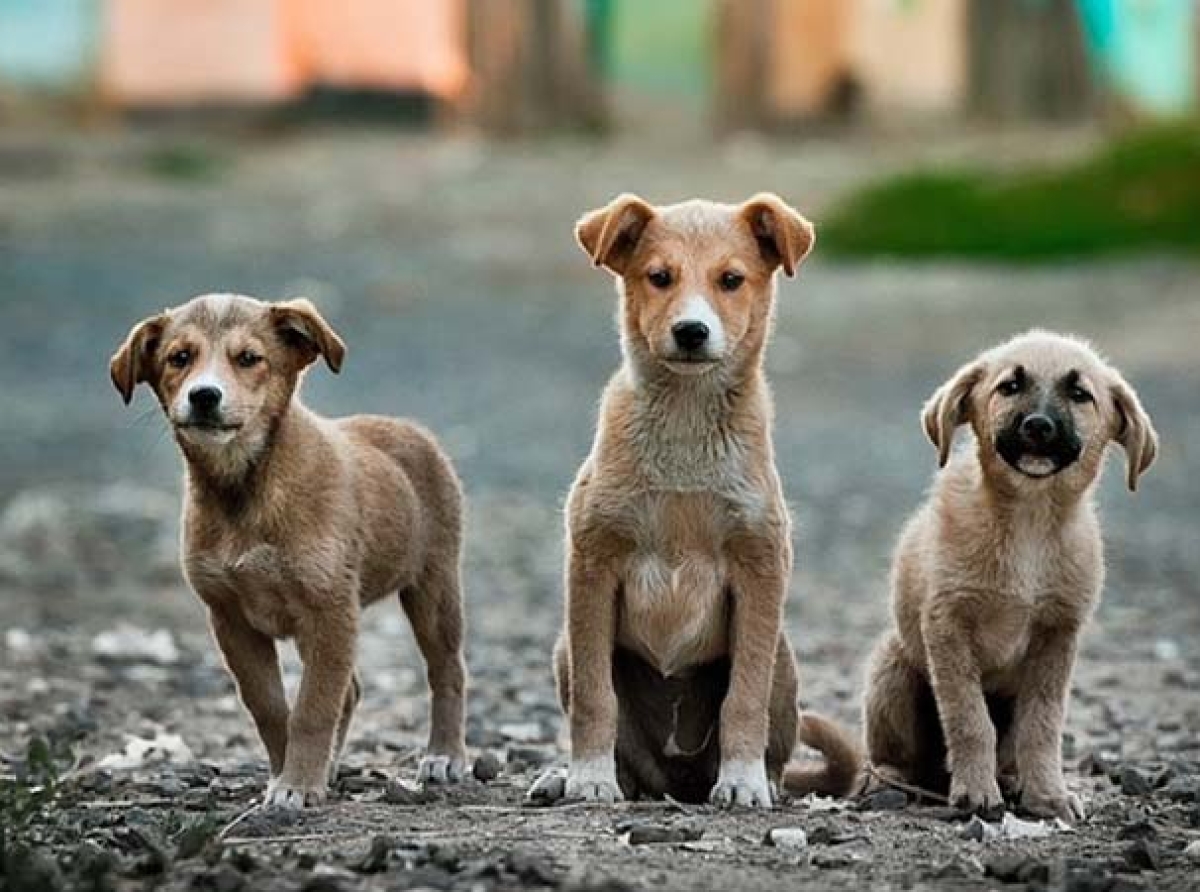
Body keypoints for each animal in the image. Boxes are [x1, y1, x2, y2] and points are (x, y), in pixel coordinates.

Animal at [111, 295, 468, 811]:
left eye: (249, 358)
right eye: (179, 358)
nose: (204, 396)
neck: (245, 489)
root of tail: (410, 429)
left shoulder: (329, 611)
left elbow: (313, 707)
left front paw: (297, 784)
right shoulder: (231, 620)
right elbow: (272, 708)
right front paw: (290, 774)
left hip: (434, 589)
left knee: (447, 671)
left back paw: (445, 755)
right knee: (351, 690)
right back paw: (333, 766)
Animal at [535, 193, 825, 811]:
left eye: (731, 280)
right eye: (659, 277)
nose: (692, 331)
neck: (686, 426)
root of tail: (677, 782)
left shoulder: (761, 568)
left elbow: (743, 698)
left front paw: (742, 780)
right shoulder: (592, 565)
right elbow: (596, 698)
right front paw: (588, 777)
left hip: (784, 658)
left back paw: (760, 779)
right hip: (564, 649)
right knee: (627, 752)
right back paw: (571, 777)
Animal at [792, 328, 1156, 821]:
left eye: (1080, 394)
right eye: (1010, 386)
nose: (1037, 426)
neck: (1028, 523)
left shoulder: (1058, 636)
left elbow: (1042, 726)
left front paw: (1048, 795)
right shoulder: (948, 625)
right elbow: (969, 720)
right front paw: (976, 793)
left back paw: (1012, 780)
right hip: (893, 668)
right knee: (892, 756)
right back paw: (891, 781)